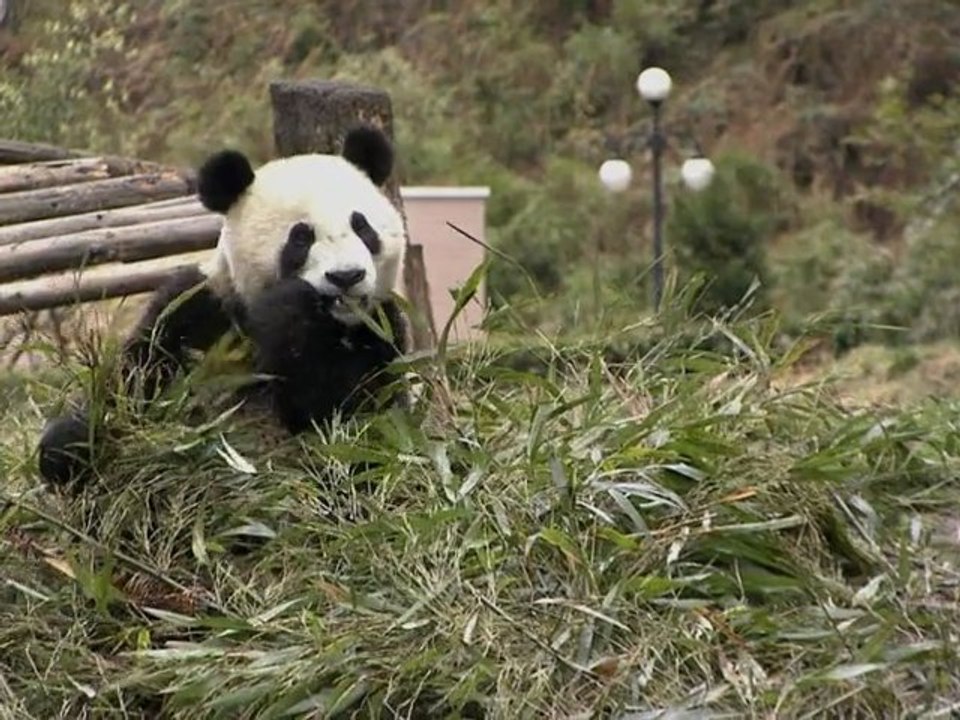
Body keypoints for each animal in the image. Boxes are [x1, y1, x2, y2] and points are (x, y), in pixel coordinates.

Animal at [38, 124, 409, 488]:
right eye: (301, 238)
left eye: (362, 227)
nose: (346, 276)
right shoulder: (198, 308)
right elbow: (138, 377)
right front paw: (72, 441)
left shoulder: (380, 328)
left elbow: (348, 419)